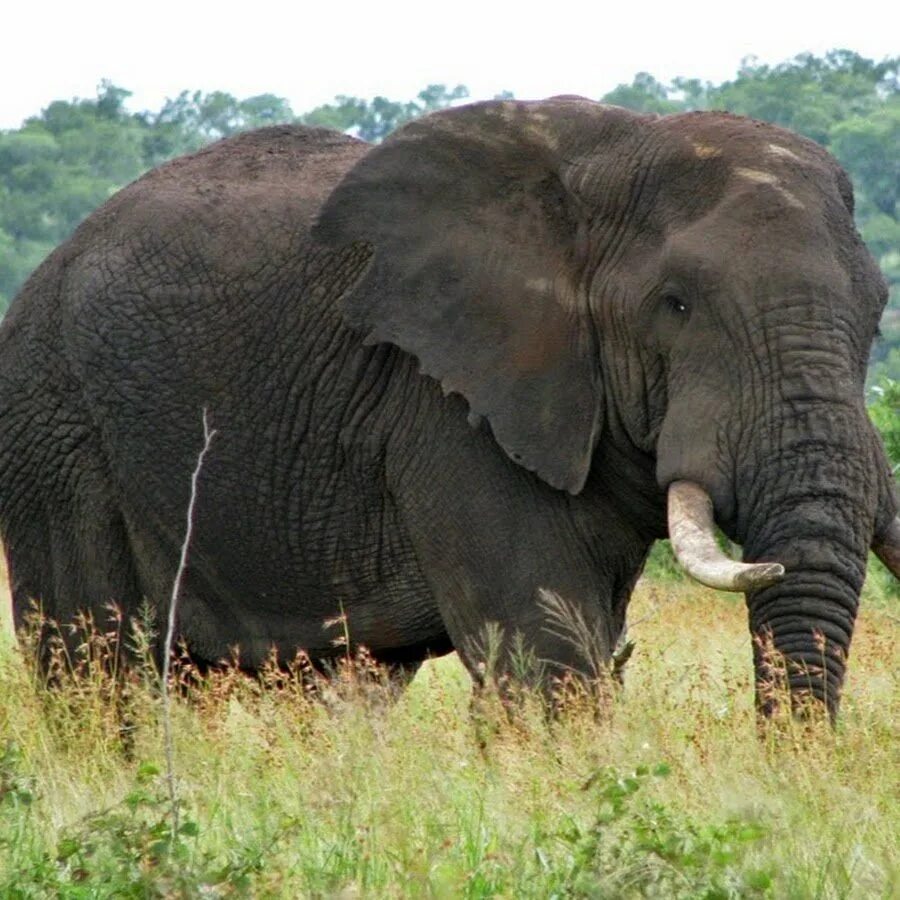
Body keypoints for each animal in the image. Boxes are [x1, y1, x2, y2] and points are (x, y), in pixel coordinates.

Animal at [1, 98, 900, 716]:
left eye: (879, 307)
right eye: (674, 304)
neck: (607, 160)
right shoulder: (445, 411)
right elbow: (548, 659)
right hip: (52, 424)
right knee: (95, 670)